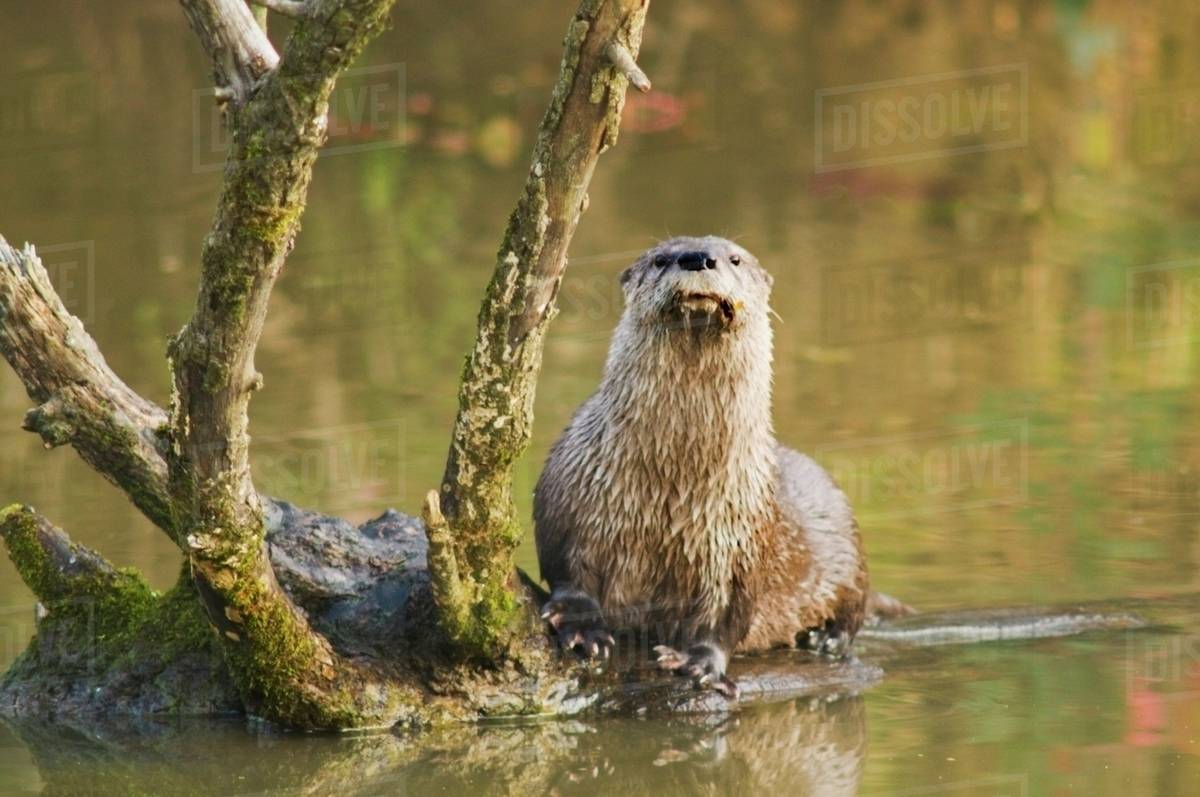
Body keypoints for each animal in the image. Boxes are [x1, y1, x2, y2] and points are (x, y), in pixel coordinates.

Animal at [535, 236, 888, 697]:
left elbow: (725, 615)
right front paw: (584, 629)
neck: (674, 482)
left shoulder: (739, 539)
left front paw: (700, 663)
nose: (697, 258)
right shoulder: (575, 494)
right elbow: (567, 570)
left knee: (855, 609)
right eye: (660, 259)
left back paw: (825, 637)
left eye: (735, 258)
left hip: (849, 549)